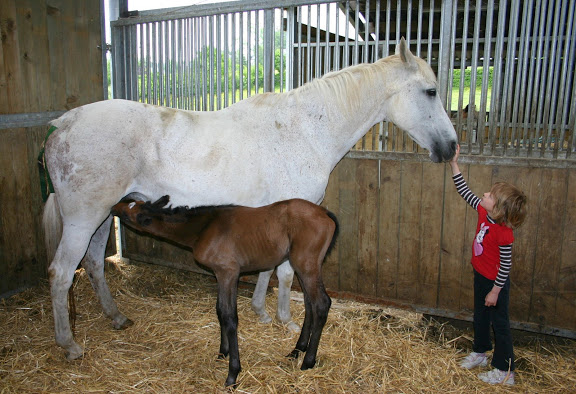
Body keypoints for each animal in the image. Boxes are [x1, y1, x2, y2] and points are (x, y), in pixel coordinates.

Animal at [42, 39, 456, 360]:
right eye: (431, 91)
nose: (450, 147)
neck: (306, 129)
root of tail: (62, 125)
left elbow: (268, 268)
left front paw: (261, 312)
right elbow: (286, 273)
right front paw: (286, 322)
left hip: (102, 217)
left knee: (93, 265)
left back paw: (116, 317)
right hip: (83, 219)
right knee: (61, 273)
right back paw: (69, 345)